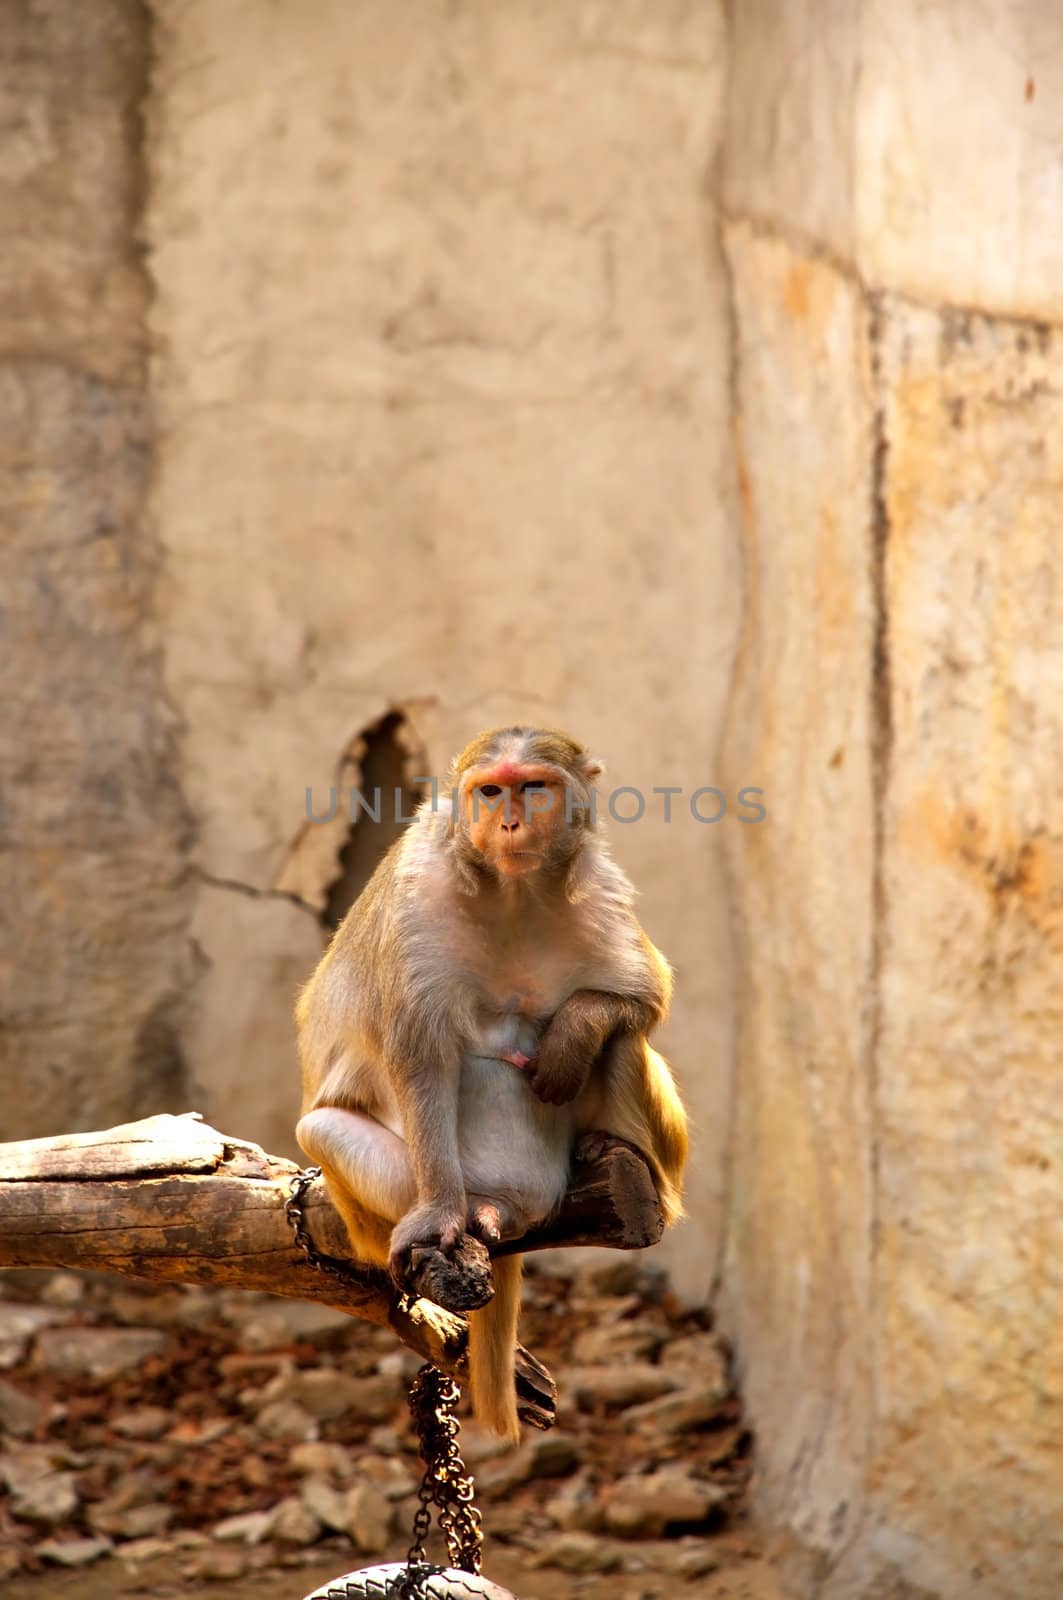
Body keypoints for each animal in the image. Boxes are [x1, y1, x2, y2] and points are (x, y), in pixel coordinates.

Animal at [294, 726, 685, 1440]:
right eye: (490, 791)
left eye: (533, 787)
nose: (509, 823)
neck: (513, 890)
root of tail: (520, 1205)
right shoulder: (417, 904)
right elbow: (420, 1058)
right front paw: (442, 1213)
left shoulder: (602, 889)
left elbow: (643, 997)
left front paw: (570, 1035)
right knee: (323, 1128)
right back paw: (474, 1210)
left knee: (623, 1041)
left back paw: (620, 1155)